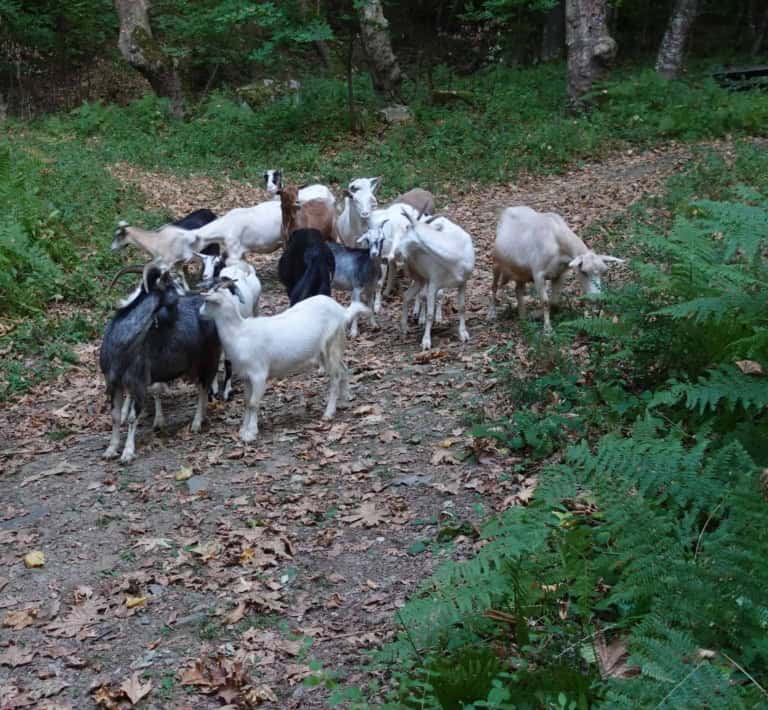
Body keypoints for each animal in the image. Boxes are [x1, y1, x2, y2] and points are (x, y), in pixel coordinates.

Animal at [100, 263, 221, 463]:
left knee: (204, 387)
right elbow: (115, 416)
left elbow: (133, 417)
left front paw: (127, 453)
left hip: (209, 358)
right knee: (201, 386)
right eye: (173, 285)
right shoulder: (114, 383)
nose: (191, 295)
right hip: (192, 366)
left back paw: (196, 423)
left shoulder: (139, 383)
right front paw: (110, 450)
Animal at [200, 285, 368, 442]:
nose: (200, 313)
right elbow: (247, 402)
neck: (239, 333)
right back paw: (345, 401)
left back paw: (328, 413)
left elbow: (253, 403)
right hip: (328, 350)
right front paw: (243, 430)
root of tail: (342, 311)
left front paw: (251, 433)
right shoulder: (246, 376)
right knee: (344, 369)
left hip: (331, 344)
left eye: (207, 302)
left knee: (335, 377)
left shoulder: (259, 375)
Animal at [389, 211, 475, 350]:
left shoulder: (463, 282)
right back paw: (407, 327)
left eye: (407, 228)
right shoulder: (434, 283)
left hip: (423, 279)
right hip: (419, 276)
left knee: (409, 295)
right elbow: (429, 313)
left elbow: (462, 307)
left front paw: (463, 334)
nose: (397, 253)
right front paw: (426, 341)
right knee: (410, 295)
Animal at [489, 206, 624, 331]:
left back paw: (523, 317)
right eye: (583, 271)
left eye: (603, 272)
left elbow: (554, 301)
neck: (556, 241)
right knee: (494, 287)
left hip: (520, 272)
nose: (596, 297)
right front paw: (547, 329)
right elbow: (545, 302)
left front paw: (536, 315)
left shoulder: (560, 274)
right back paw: (492, 313)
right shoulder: (538, 274)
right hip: (496, 263)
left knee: (518, 290)